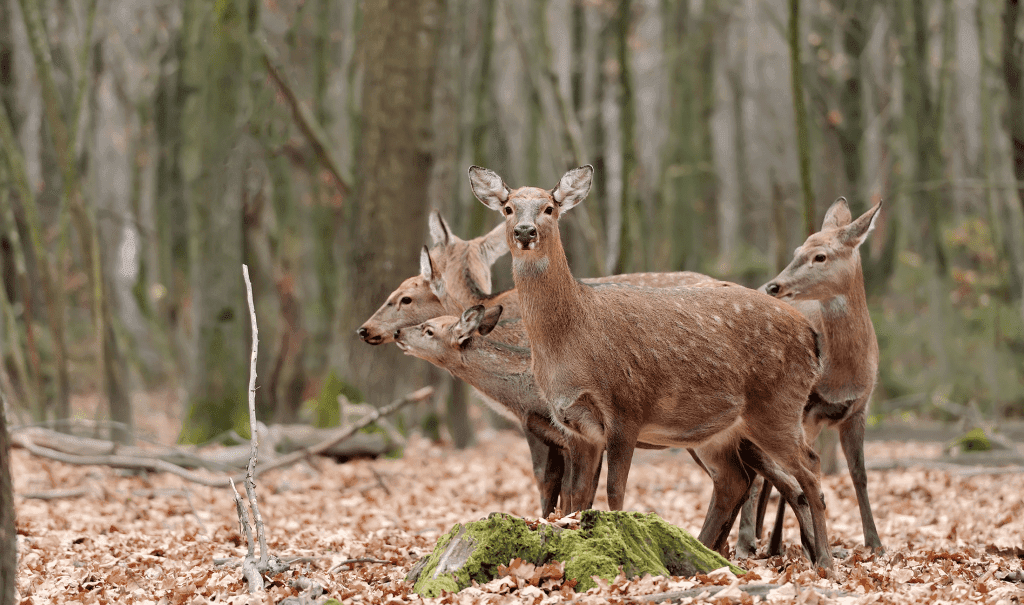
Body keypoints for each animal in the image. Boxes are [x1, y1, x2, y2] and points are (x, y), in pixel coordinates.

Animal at [469, 164, 834, 569]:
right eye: (508, 208)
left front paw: (619, 547)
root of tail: (812, 336)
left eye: (550, 208)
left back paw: (825, 562)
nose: (525, 231)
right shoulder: (575, 425)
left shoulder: (626, 407)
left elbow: (614, 491)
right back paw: (705, 552)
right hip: (721, 430)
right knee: (734, 480)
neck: (571, 343)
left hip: (777, 404)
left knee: (810, 468)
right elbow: (576, 495)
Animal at [736, 198, 883, 558]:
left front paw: (875, 543)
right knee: (762, 474)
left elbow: (859, 474)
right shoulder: (805, 408)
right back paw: (750, 540)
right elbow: (795, 476)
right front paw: (804, 542)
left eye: (821, 256)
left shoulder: (858, 408)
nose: (775, 286)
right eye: (797, 250)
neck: (841, 374)